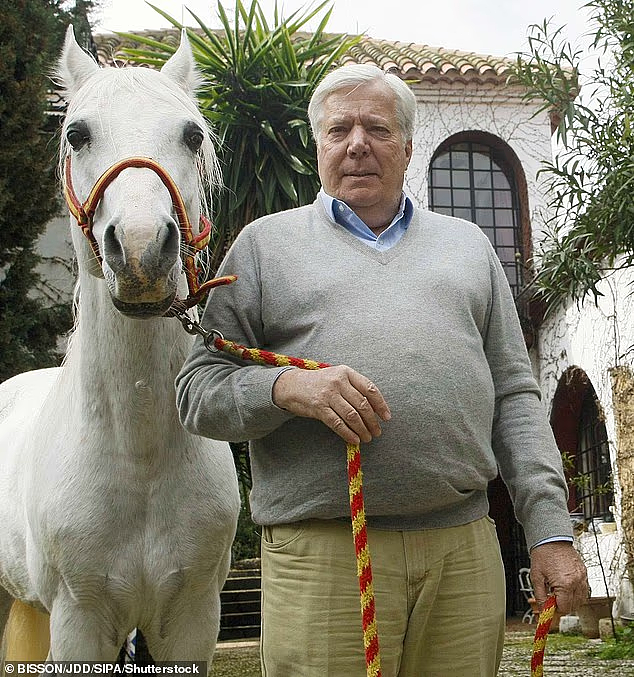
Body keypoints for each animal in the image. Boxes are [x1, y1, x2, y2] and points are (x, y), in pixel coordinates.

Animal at [0, 26, 240, 660]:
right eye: (76, 134)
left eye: (192, 134)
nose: (140, 250)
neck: (140, 458)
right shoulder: (79, 620)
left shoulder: (192, 616)